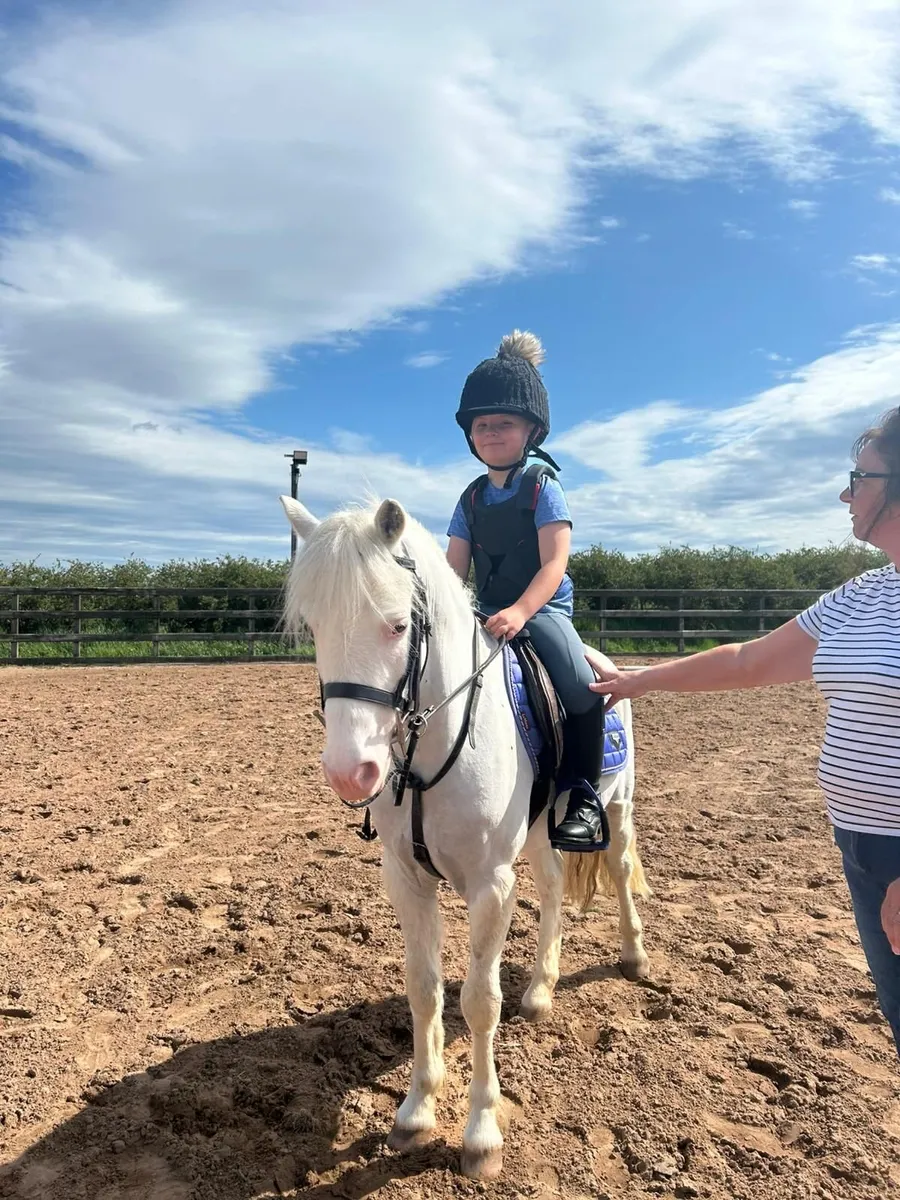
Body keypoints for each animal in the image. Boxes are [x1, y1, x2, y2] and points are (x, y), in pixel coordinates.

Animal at [280, 494, 650, 1180]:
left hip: (617, 805)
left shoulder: (490, 884)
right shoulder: (407, 880)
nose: (350, 772)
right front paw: (415, 1113)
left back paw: (634, 957)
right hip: (540, 831)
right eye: (314, 628)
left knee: (616, 868)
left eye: (398, 625)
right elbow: (424, 990)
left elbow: (479, 1000)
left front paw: (480, 1133)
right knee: (553, 888)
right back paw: (541, 989)